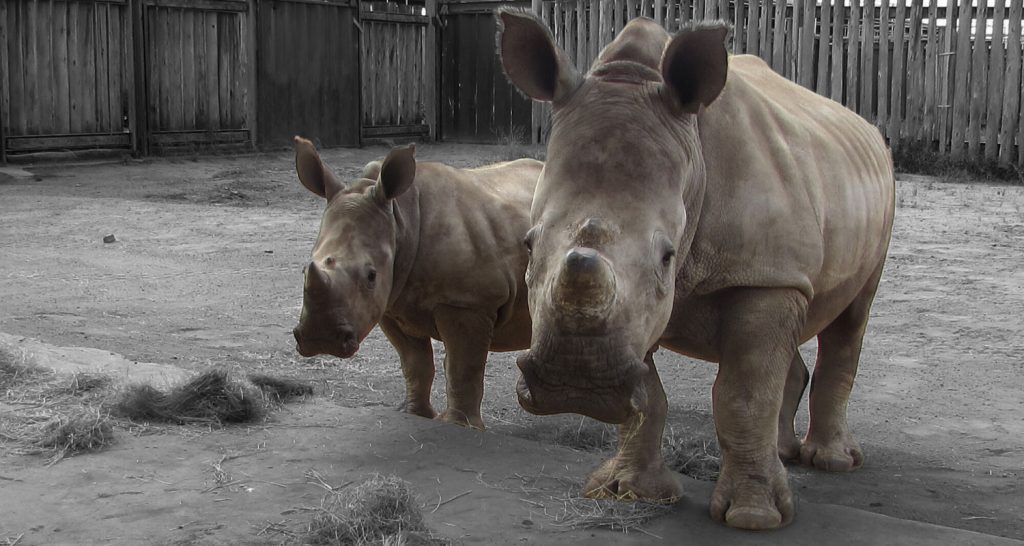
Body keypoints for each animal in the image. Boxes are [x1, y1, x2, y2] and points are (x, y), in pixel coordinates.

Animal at [290, 135, 544, 426]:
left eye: (371, 276)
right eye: (304, 270)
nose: (320, 340)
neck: (401, 219)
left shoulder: (468, 302)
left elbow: (462, 368)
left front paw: (457, 425)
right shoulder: (390, 303)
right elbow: (415, 364)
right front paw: (414, 413)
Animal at [499, 11, 892, 528]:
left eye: (667, 256)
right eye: (528, 243)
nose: (575, 384)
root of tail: (868, 129)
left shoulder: (762, 275)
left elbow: (744, 394)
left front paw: (754, 517)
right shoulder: (642, 308)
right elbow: (649, 394)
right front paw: (628, 492)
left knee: (851, 317)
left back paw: (832, 462)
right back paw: (785, 453)